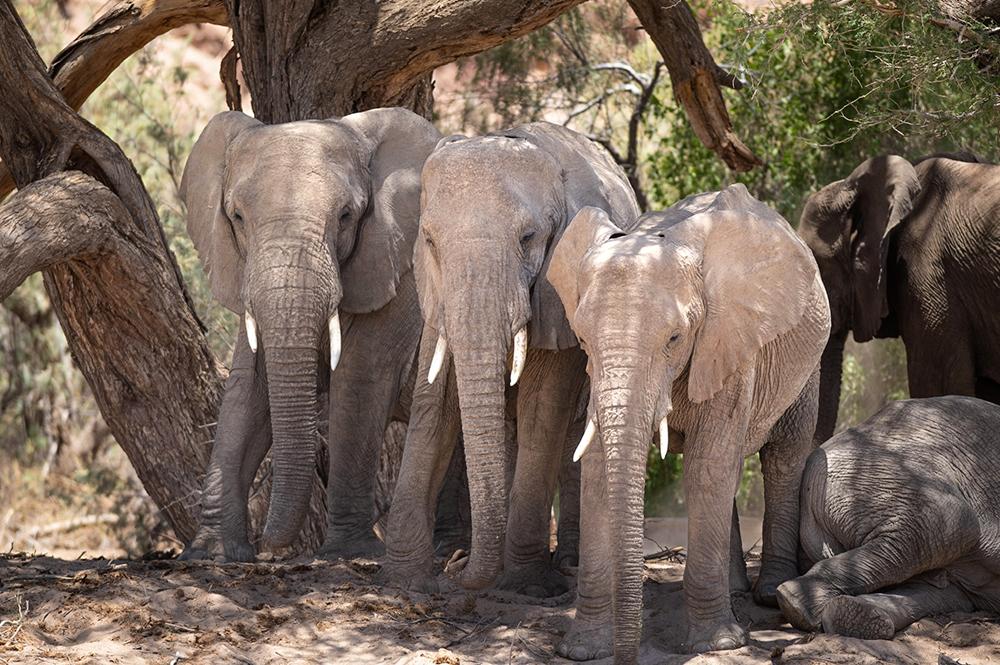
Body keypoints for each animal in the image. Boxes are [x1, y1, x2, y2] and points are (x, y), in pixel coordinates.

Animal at [179, 109, 442, 560]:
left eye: (346, 216)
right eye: (237, 217)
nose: (268, 550)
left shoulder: (399, 276)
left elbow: (359, 383)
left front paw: (349, 552)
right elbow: (249, 392)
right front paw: (213, 553)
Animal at [544, 185, 832, 660]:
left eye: (675, 338)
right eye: (582, 338)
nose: (629, 657)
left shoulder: (729, 337)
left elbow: (706, 465)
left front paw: (717, 644)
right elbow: (599, 471)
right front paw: (582, 650)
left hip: (806, 362)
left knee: (781, 457)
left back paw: (768, 593)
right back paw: (734, 588)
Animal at [776, 394, 1000, 640]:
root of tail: (812, 470)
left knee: (940, 589)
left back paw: (852, 617)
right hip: (882, 475)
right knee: (951, 526)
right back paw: (798, 604)